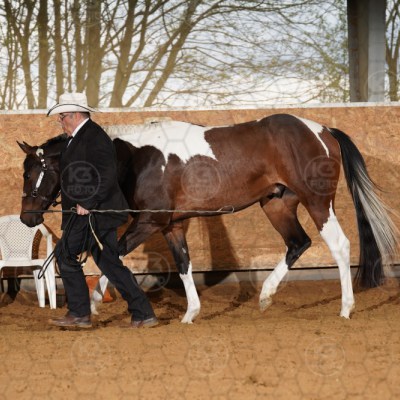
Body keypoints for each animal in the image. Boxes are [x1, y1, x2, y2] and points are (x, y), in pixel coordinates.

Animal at [18, 113, 398, 323]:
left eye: (33, 173)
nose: (27, 217)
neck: (137, 156)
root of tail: (323, 130)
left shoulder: (151, 222)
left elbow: (111, 254)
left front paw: (97, 305)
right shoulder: (173, 225)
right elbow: (184, 264)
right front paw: (190, 314)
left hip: (317, 202)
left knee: (339, 246)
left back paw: (345, 308)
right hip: (277, 204)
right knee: (297, 243)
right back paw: (265, 296)